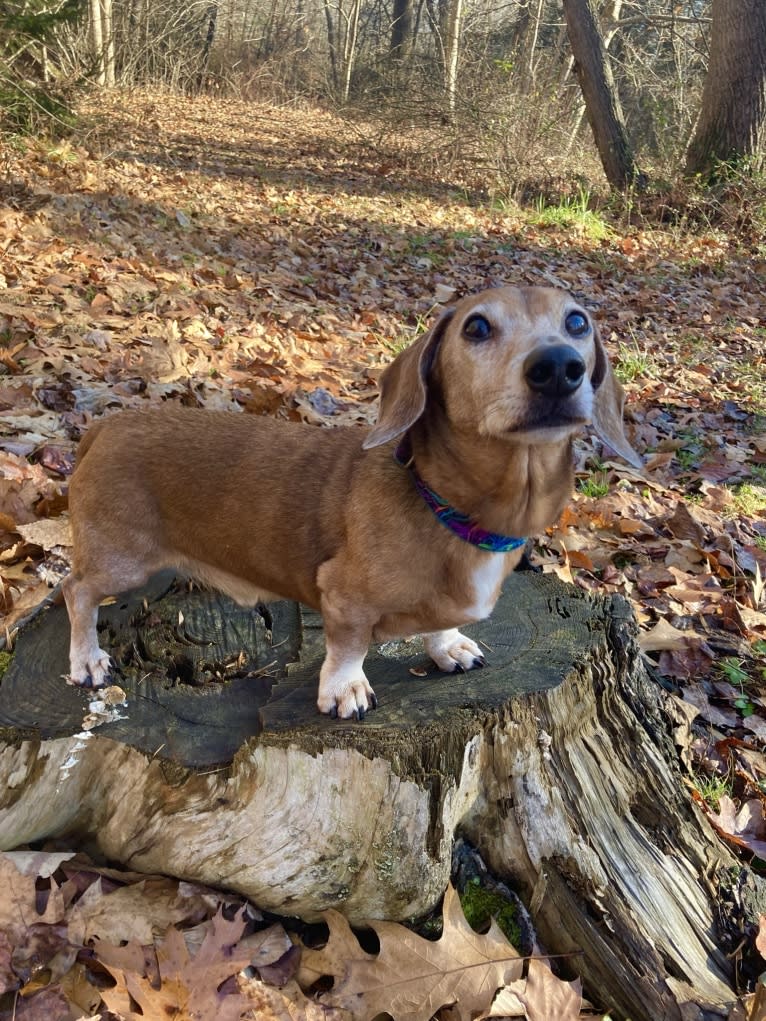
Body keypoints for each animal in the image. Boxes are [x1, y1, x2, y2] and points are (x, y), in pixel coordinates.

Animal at [64, 285, 641, 718]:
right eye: (476, 327)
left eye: (577, 322)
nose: (558, 366)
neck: (447, 508)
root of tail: (106, 426)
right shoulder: (342, 598)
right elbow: (350, 647)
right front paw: (345, 690)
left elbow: (437, 625)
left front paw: (447, 645)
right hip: (122, 560)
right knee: (76, 591)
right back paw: (86, 659)